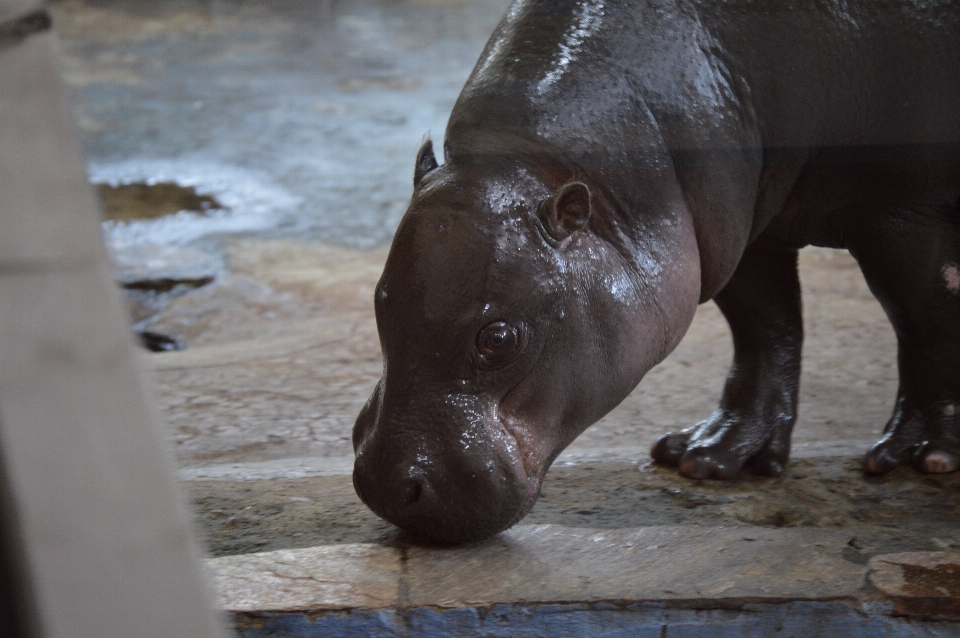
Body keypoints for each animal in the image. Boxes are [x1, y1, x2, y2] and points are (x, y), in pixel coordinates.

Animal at [352, 0, 960, 544]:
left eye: (498, 338)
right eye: (380, 301)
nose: (387, 487)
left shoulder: (903, 213)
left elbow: (926, 319)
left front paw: (921, 454)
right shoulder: (735, 229)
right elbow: (766, 328)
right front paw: (709, 456)